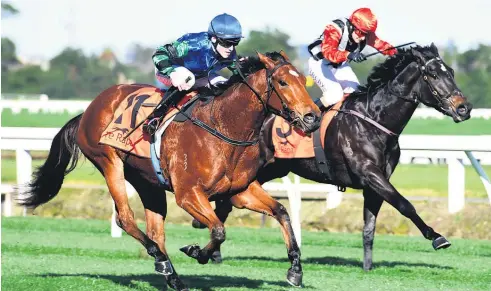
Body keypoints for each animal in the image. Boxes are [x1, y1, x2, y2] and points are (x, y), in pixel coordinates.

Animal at [18, 51, 322, 290]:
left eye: (302, 80)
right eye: (282, 82)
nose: (313, 117)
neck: (223, 127)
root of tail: (88, 110)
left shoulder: (240, 191)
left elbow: (281, 212)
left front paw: (295, 269)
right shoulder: (188, 194)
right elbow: (218, 229)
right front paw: (197, 251)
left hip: (147, 181)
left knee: (155, 230)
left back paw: (171, 275)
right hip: (109, 161)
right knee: (125, 218)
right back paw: (162, 261)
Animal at [189, 44, 472, 272]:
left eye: (451, 72)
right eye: (433, 74)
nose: (464, 108)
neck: (375, 119)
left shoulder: (374, 182)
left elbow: (369, 227)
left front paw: (367, 267)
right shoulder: (370, 173)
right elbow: (405, 204)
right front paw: (436, 237)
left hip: (268, 171)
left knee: (226, 203)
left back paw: (210, 248)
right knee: (225, 202)